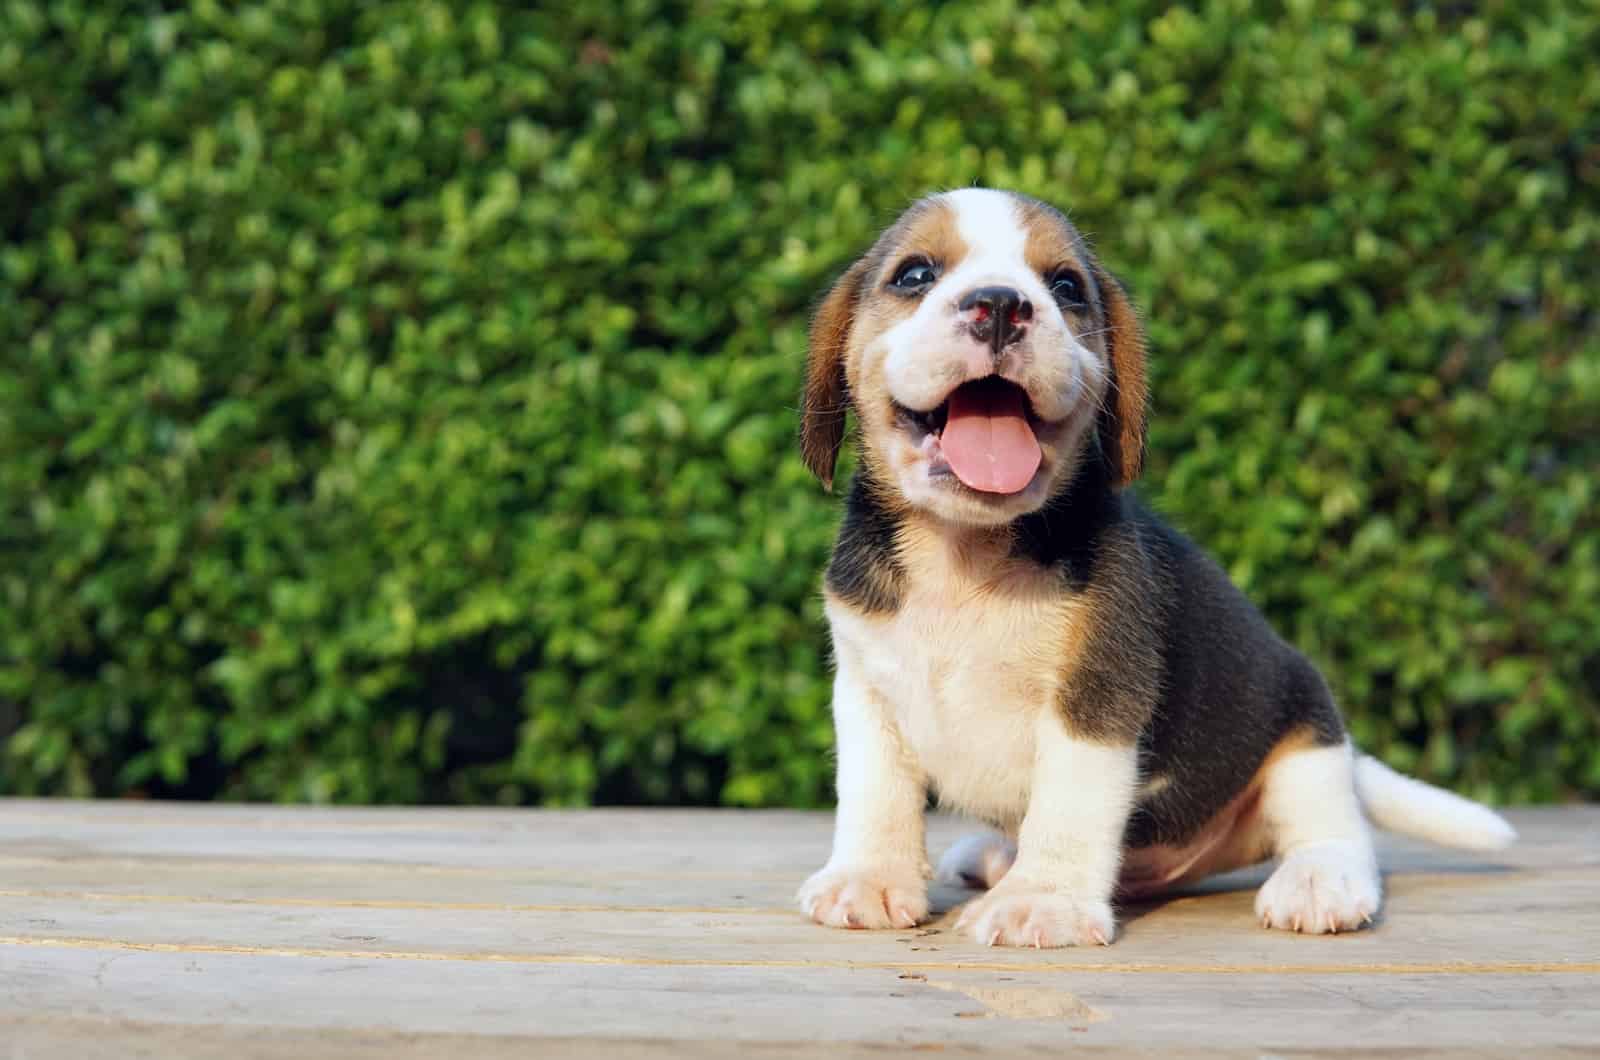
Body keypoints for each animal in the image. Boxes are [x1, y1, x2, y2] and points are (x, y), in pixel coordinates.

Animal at [800, 186, 1510, 947]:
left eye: (1065, 287)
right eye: (914, 275)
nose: (1000, 304)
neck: (965, 551)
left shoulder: (1097, 695)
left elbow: (1069, 805)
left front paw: (1043, 899)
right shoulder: (867, 693)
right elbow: (875, 797)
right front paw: (868, 878)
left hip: (1305, 730)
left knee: (1330, 824)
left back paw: (1321, 881)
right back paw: (998, 857)